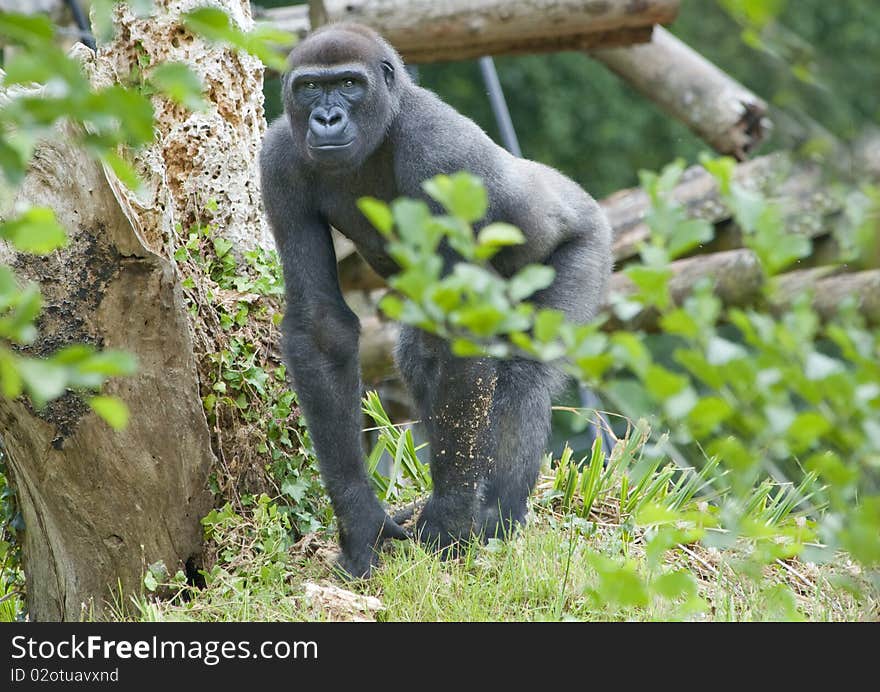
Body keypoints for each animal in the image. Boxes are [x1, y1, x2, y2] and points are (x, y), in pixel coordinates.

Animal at [258, 23, 608, 580]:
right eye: (310, 87)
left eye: (349, 84)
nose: (327, 118)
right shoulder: (278, 162)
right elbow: (321, 326)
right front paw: (360, 521)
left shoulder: (442, 158)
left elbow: (461, 325)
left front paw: (448, 521)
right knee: (421, 360)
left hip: (588, 244)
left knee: (525, 372)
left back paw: (496, 516)